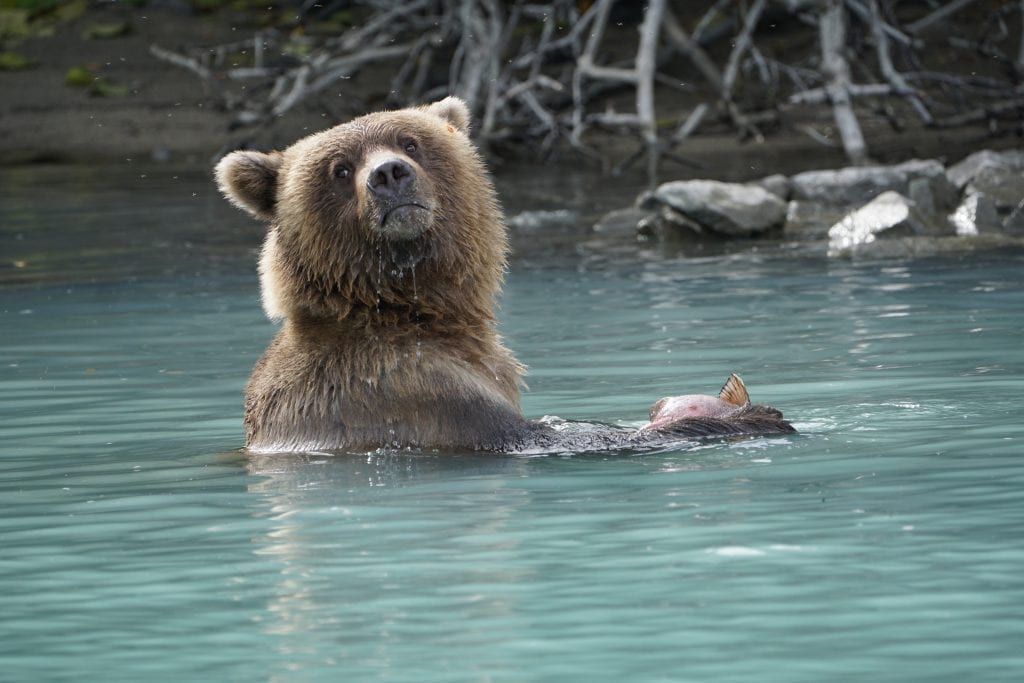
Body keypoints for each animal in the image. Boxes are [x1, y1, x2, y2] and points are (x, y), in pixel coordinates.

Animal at [214, 94, 790, 448]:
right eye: (339, 169)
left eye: (409, 142)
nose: (389, 174)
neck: (405, 313)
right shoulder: (408, 390)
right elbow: (552, 437)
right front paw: (744, 414)